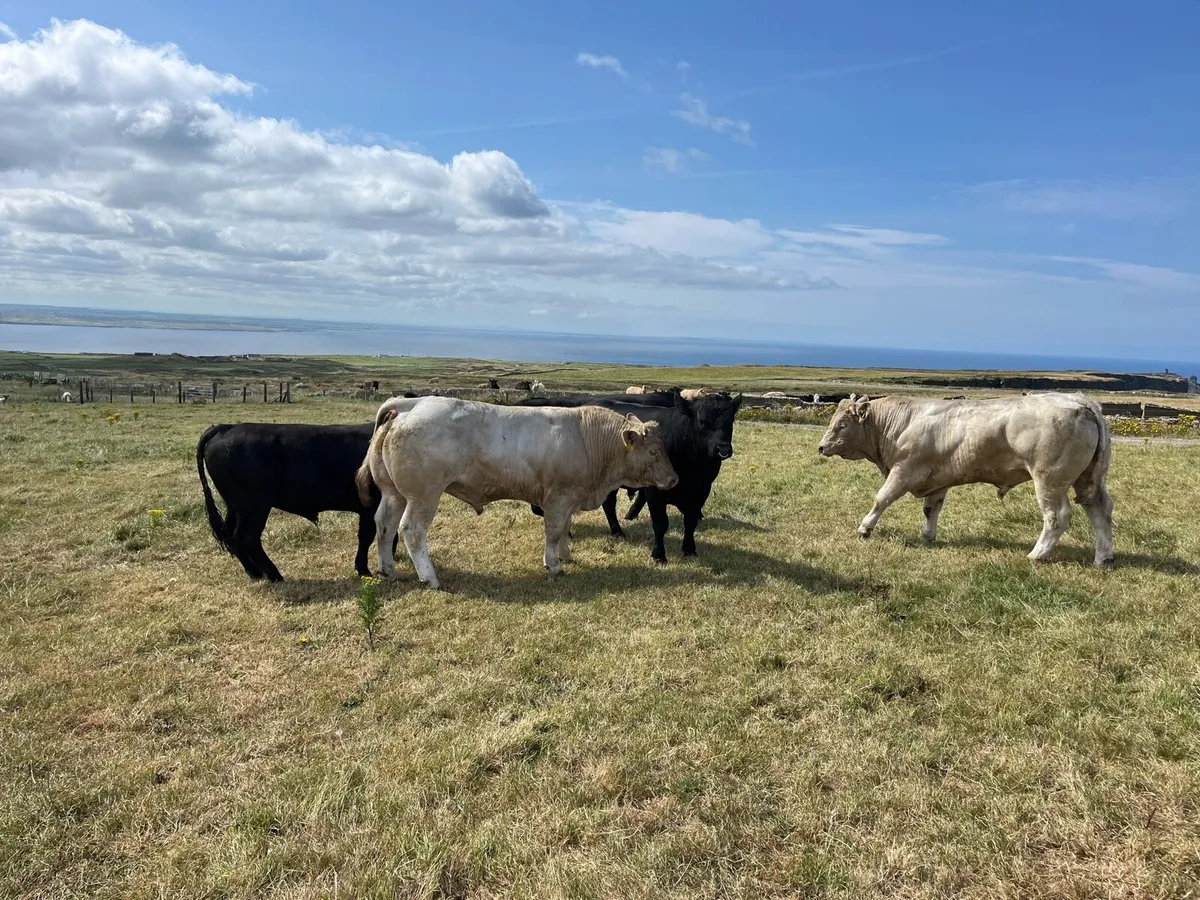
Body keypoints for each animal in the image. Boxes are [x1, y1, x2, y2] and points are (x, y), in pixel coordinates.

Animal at [197, 422, 396, 582]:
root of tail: (225, 427)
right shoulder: (370, 507)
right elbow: (368, 537)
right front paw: (364, 570)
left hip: (235, 506)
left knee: (230, 534)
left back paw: (255, 572)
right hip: (254, 507)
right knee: (246, 537)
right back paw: (274, 575)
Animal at [355, 396, 678, 589]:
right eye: (653, 451)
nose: (674, 479)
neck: (588, 438)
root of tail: (410, 404)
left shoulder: (569, 497)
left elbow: (565, 529)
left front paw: (566, 555)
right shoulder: (558, 498)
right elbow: (554, 531)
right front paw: (553, 565)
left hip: (394, 494)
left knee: (384, 526)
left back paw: (386, 570)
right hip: (424, 495)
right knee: (411, 530)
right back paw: (429, 577)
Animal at [517, 390, 743, 563]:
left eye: (730, 421)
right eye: (702, 421)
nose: (723, 449)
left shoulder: (701, 491)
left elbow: (691, 521)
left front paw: (689, 549)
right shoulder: (655, 491)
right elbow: (660, 522)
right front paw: (659, 554)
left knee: (608, 504)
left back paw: (617, 531)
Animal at [816, 393, 1114, 567]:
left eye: (842, 425)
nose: (821, 447)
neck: (901, 423)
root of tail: (1078, 400)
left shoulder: (904, 471)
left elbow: (882, 499)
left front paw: (865, 528)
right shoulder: (937, 479)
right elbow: (931, 509)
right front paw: (927, 536)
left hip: (1049, 480)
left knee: (1057, 517)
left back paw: (1037, 554)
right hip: (1087, 479)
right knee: (1101, 511)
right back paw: (1104, 557)